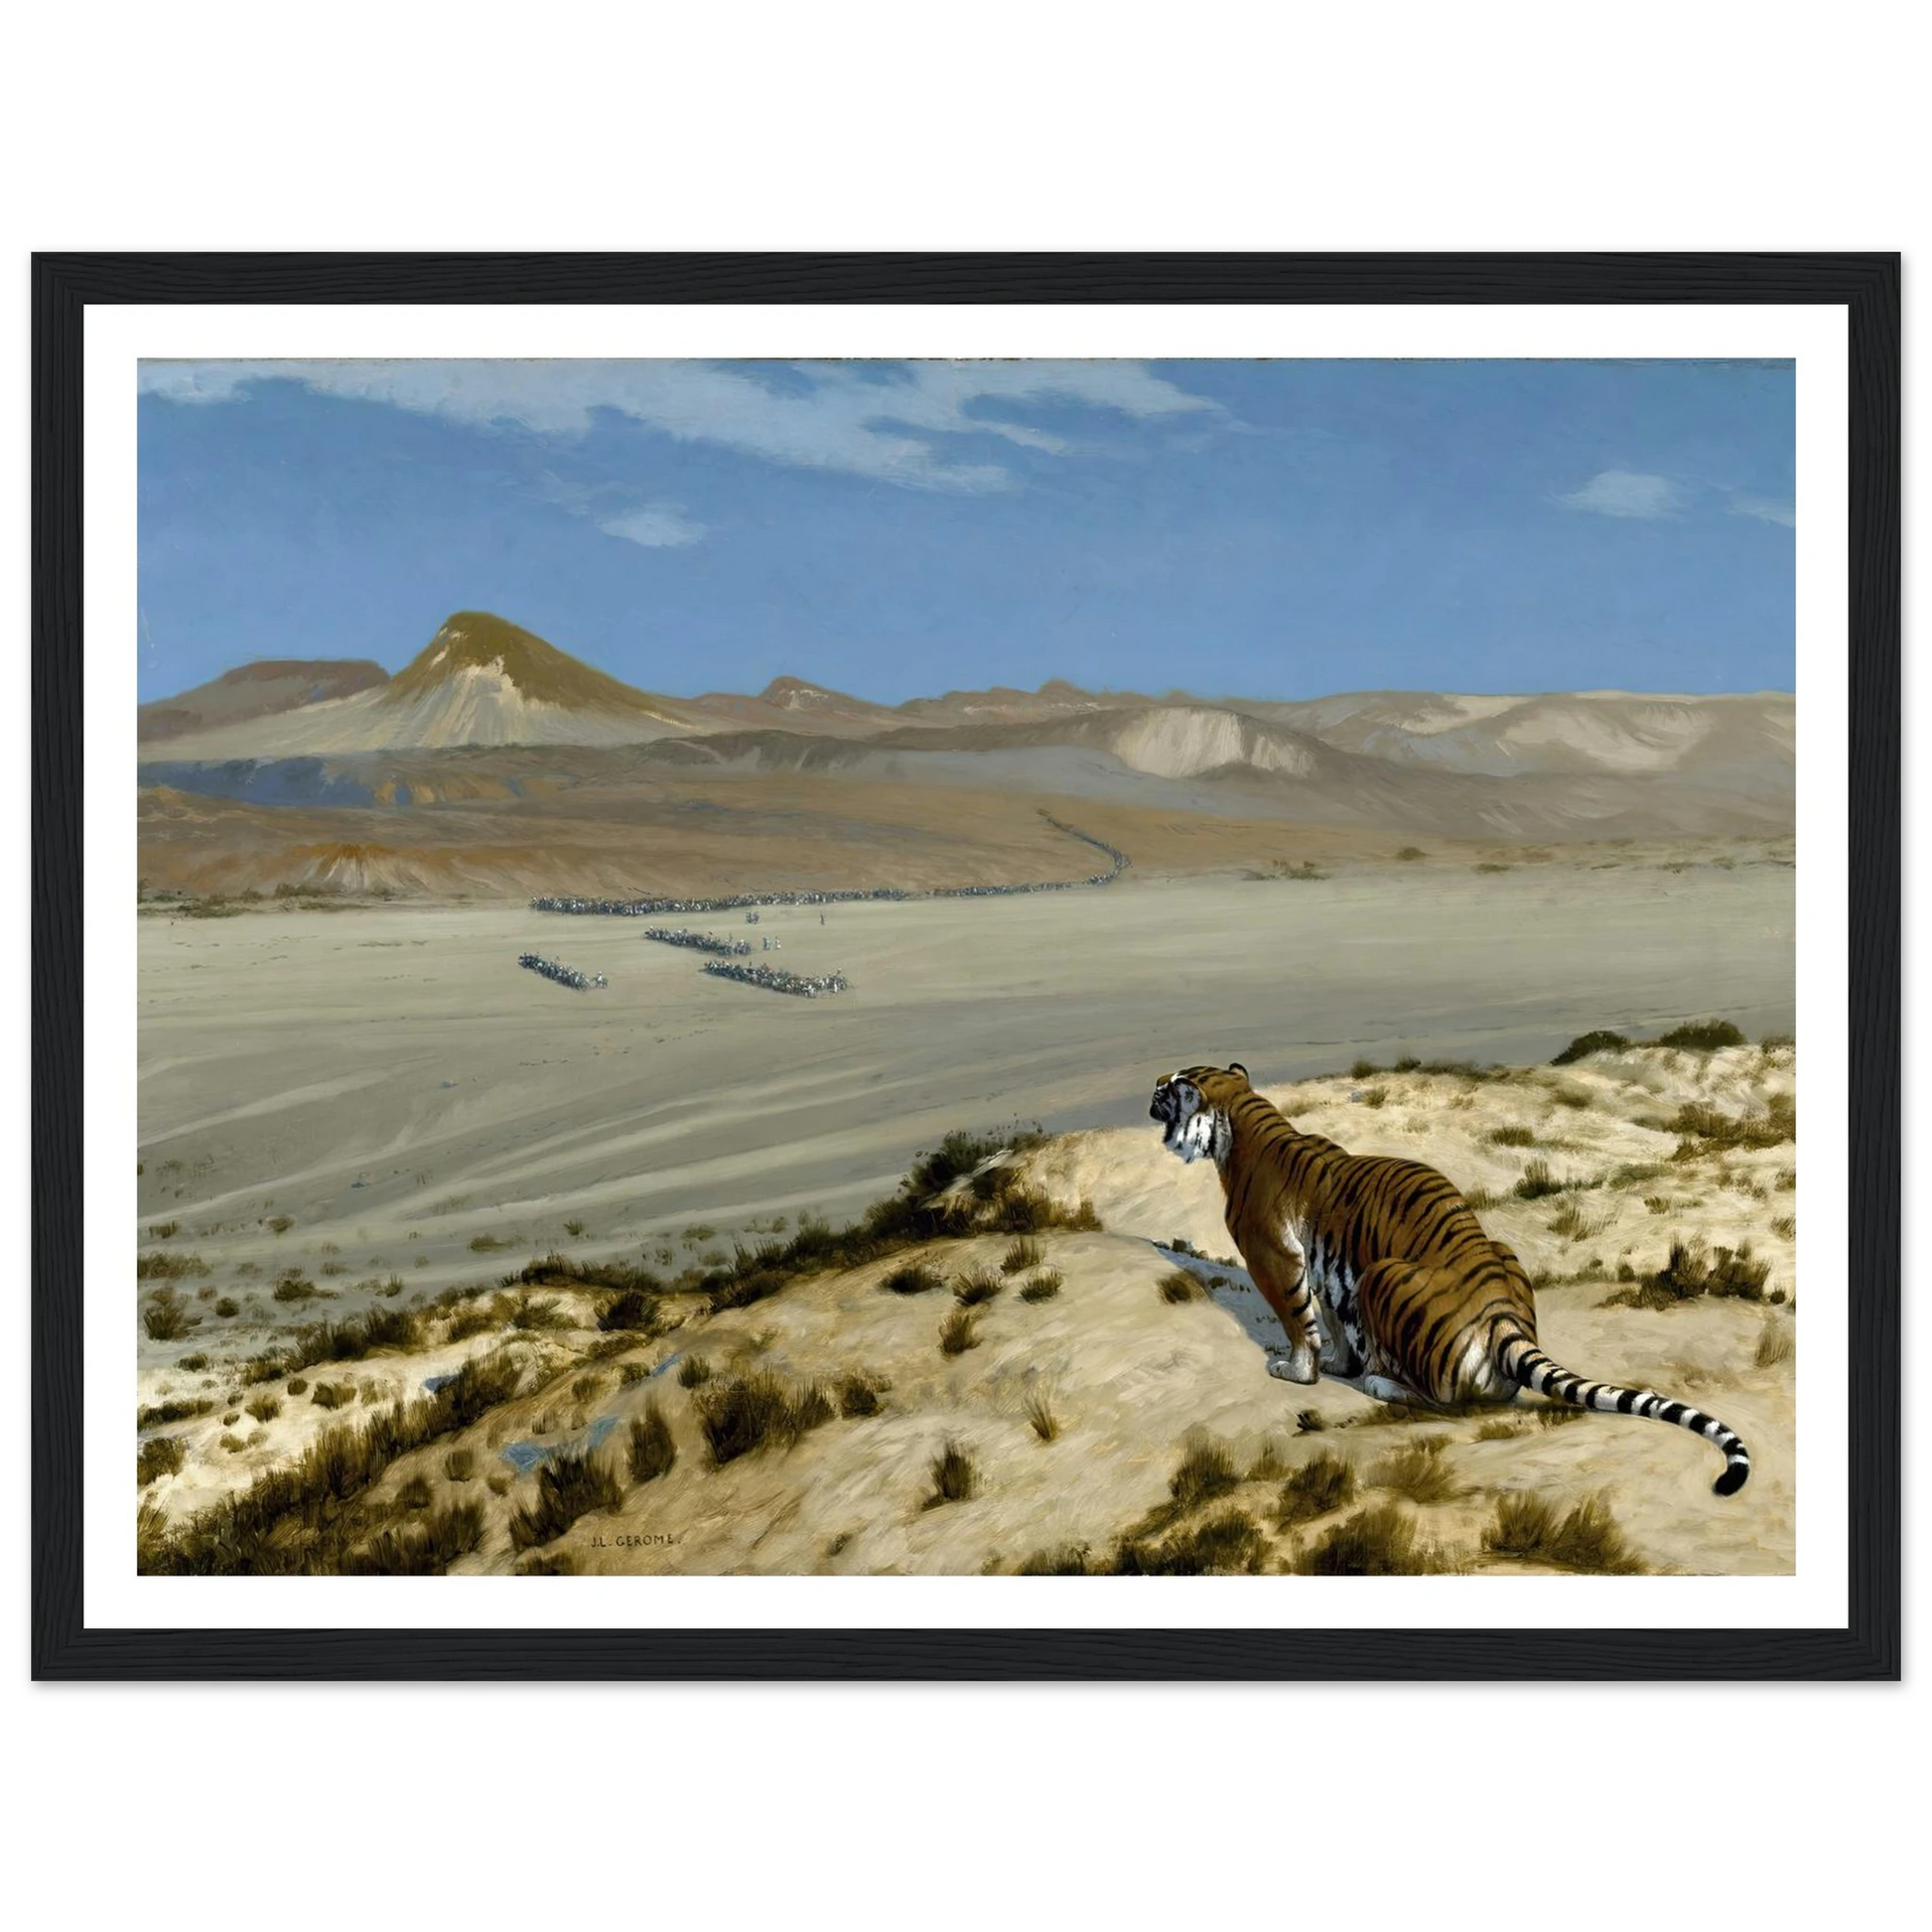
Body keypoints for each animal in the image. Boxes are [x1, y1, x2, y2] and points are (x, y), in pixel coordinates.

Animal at [1150, 1062, 1751, 1495]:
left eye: (1169, 1087)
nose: (1149, 1092)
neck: (1241, 1123)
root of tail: (1503, 1317)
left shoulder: (1274, 1257)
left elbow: (1300, 1321)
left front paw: (1297, 1372)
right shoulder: (1325, 1269)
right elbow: (1333, 1320)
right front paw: (1339, 1363)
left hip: (1381, 1276)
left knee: (1444, 1402)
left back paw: (1380, 1382)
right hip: (1487, 1257)